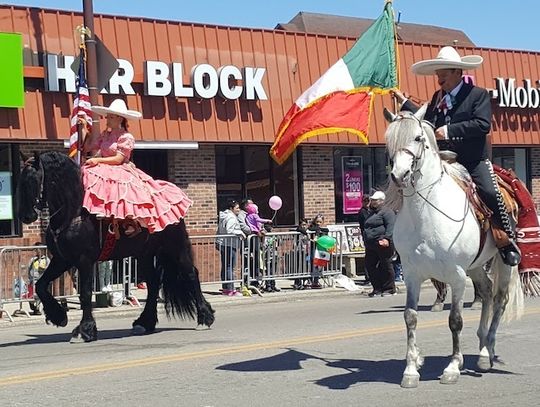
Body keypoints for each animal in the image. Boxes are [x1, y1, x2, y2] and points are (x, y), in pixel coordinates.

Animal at [16, 151, 215, 342]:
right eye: (21, 181)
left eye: (35, 180)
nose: (26, 216)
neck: (72, 213)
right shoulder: (62, 260)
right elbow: (41, 285)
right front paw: (58, 316)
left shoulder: (84, 261)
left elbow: (85, 293)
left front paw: (84, 330)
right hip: (144, 254)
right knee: (152, 284)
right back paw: (145, 322)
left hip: (175, 247)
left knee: (191, 274)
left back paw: (204, 318)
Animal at [384, 105, 524, 388]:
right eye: (388, 140)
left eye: (418, 138)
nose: (399, 175)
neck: (425, 211)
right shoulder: (413, 274)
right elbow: (410, 317)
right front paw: (411, 369)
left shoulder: (457, 275)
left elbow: (455, 320)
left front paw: (451, 368)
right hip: (476, 266)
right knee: (486, 291)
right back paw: (481, 348)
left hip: (502, 261)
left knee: (499, 298)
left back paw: (486, 352)